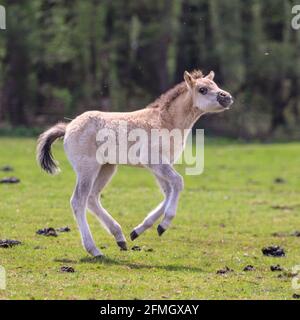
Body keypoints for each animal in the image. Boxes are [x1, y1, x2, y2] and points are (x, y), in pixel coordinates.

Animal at [36, 70, 233, 258]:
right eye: (202, 89)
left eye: (215, 84)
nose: (227, 97)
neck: (165, 121)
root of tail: (68, 128)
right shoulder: (153, 161)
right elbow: (178, 183)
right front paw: (164, 225)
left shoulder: (159, 166)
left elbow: (168, 192)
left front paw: (139, 231)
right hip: (87, 169)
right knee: (78, 201)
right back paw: (95, 250)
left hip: (107, 167)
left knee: (91, 198)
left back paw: (120, 238)